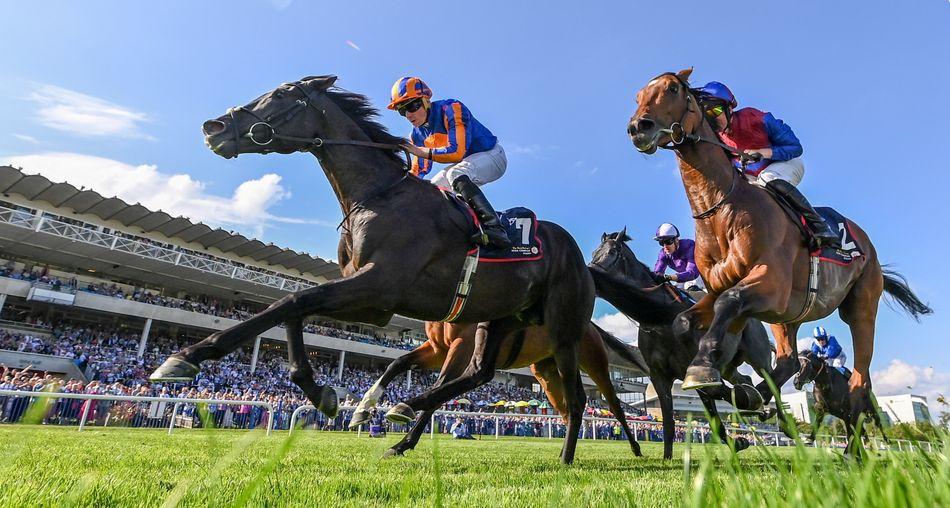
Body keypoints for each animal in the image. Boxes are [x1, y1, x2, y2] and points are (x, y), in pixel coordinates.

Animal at [151, 76, 596, 464]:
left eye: (279, 95)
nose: (213, 128)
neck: (377, 198)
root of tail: (580, 257)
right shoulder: (372, 302)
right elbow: (295, 306)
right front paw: (322, 393)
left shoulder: (378, 285)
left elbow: (292, 300)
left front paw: (186, 357)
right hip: (499, 319)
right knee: (479, 374)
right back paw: (399, 419)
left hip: (563, 327)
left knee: (576, 396)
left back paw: (563, 456)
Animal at [352, 320, 656, 458]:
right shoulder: (438, 348)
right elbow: (398, 362)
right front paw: (364, 407)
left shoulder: (461, 347)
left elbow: (438, 390)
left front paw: (402, 440)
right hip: (548, 373)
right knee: (570, 408)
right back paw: (565, 452)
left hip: (593, 362)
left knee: (613, 405)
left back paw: (636, 448)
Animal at [596, 228, 780, 458]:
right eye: (595, 252)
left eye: (612, 251)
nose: (590, 268)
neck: (661, 318)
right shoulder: (659, 376)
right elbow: (669, 422)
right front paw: (667, 458)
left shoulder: (696, 369)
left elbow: (714, 400)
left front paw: (746, 413)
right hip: (730, 366)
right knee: (744, 378)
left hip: (758, 358)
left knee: (772, 382)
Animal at [628, 68, 932, 452]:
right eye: (638, 95)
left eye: (671, 89)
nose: (638, 127)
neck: (722, 210)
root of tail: (867, 244)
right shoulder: (723, 289)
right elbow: (688, 320)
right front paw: (725, 380)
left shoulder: (767, 284)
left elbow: (729, 302)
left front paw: (706, 372)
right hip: (788, 315)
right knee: (787, 359)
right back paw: (757, 398)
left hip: (860, 306)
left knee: (860, 381)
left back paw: (851, 451)